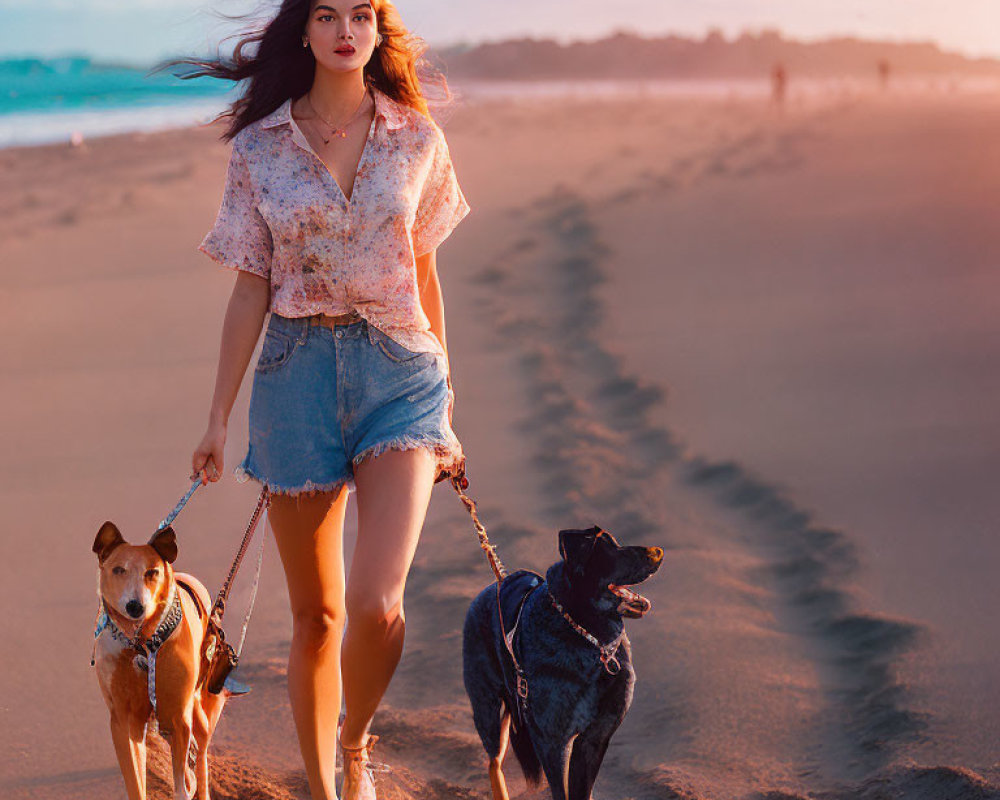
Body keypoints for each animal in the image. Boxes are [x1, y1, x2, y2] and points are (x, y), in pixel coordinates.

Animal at [93, 520, 231, 796]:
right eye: (118, 569)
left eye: (152, 572)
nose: (135, 606)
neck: (140, 644)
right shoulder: (123, 720)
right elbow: (136, 781)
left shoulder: (178, 717)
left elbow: (181, 785)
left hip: (197, 710)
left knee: (201, 757)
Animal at [462, 524, 664, 800]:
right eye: (610, 549)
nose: (659, 551)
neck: (592, 639)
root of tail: (492, 587)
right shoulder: (552, 741)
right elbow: (561, 790)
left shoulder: (594, 738)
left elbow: (582, 791)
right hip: (487, 705)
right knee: (494, 760)